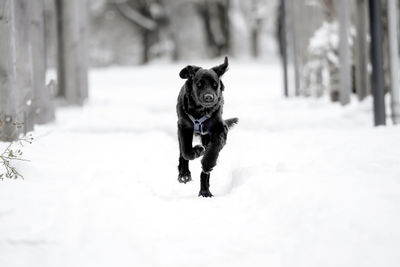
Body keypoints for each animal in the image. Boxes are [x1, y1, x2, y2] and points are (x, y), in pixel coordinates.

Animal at [176, 56, 238, 198]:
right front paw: (197, 151)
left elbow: (213, 150)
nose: (209, 97)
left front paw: (207, 162)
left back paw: (205, 192)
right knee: (182, 152)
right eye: (199, 84)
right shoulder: (184, 126)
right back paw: (184, 174)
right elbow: (186, 151)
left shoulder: (220, 129)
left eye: (215, 85)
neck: (200, 111)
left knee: (205, 173)